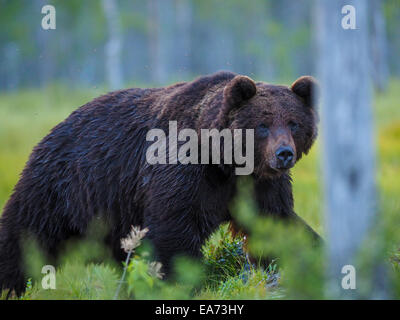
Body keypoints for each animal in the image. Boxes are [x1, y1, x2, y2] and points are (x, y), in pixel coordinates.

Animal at [0, 71, 320, 296]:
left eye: (293, 123)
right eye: (263, 124)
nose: (284, 153)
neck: (225, 161)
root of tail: (53, 130)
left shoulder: (258, 184)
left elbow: (276, 222)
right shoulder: (184, 171)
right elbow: (174, 229)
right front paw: (189, 281)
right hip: (62, 188)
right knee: (26, 235)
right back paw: (11, 285)